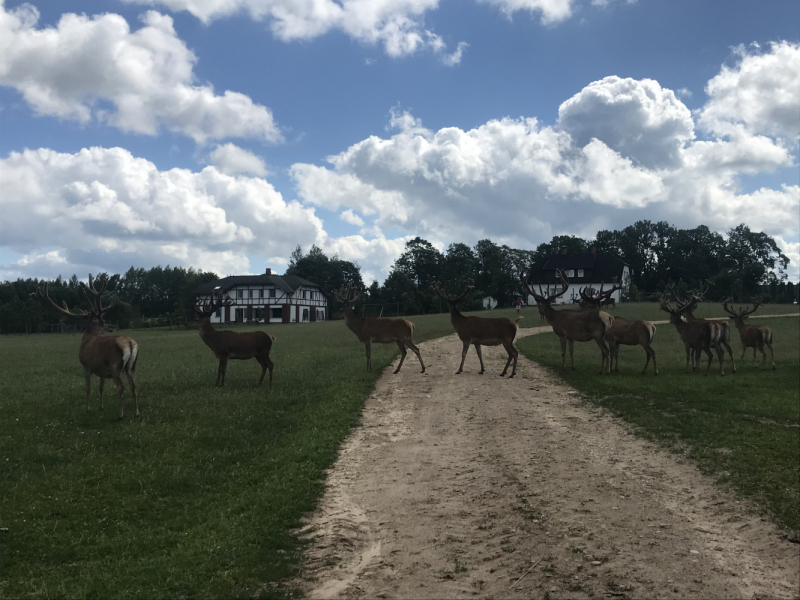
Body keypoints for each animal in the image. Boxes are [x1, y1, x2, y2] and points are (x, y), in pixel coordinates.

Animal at [28, 276, 139, 418]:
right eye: (103, 321)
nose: (112, 326)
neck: (87, 338)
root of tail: (130, 343)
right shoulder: (102, 369)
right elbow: (101, 387)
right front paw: (101, 407)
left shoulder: (85, 365)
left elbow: (88, 388)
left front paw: (88, 408)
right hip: (131, 367)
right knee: (134, 386)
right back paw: (137, 413)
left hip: (115, 365)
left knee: (121, 387)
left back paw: (120, 414)